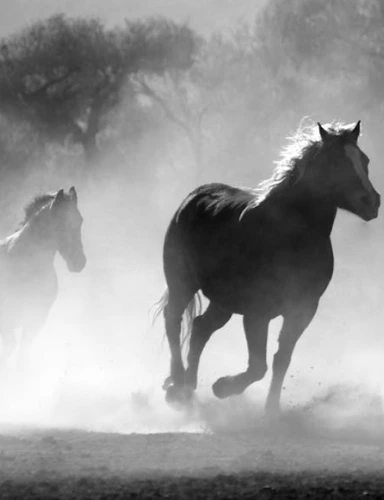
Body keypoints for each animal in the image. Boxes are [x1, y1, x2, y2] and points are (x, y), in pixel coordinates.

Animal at [0, 188, 85, 376]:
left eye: (80, 220)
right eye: (60, 223)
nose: (79, 262)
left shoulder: (36, 318)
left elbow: (22, 356)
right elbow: (9, 349)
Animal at [155, 119, 380, 416]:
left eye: (364, 160)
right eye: (335, 162)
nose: (372, 202)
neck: (291, 236)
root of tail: (194, 197)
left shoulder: (302, 309)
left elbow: (281, 359)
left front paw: (271, 410)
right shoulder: (257, 312)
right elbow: (258, 366)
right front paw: (223, 387)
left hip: (223, 302)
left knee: (201, 328)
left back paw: (189, 386)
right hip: (182, 283)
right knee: (173, 320)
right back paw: (177, 385)